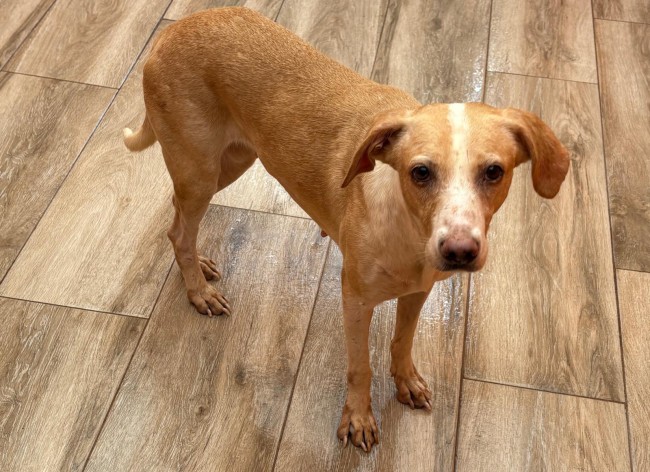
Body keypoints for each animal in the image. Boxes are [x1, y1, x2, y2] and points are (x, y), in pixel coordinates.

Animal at [123, 7, 570, 452]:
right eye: (420, 172)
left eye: (494, 171)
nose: (459, 251)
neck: (407, 230)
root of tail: (175, 28)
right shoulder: (354, 300)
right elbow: (360, 366)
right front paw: (358, 418)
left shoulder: (418, 292)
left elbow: (402, 341)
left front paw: (406, 382)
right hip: (200, 169)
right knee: (180, 230)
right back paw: (199, 291)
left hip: (230, 162)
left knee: (178, 220)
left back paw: (197, 266)